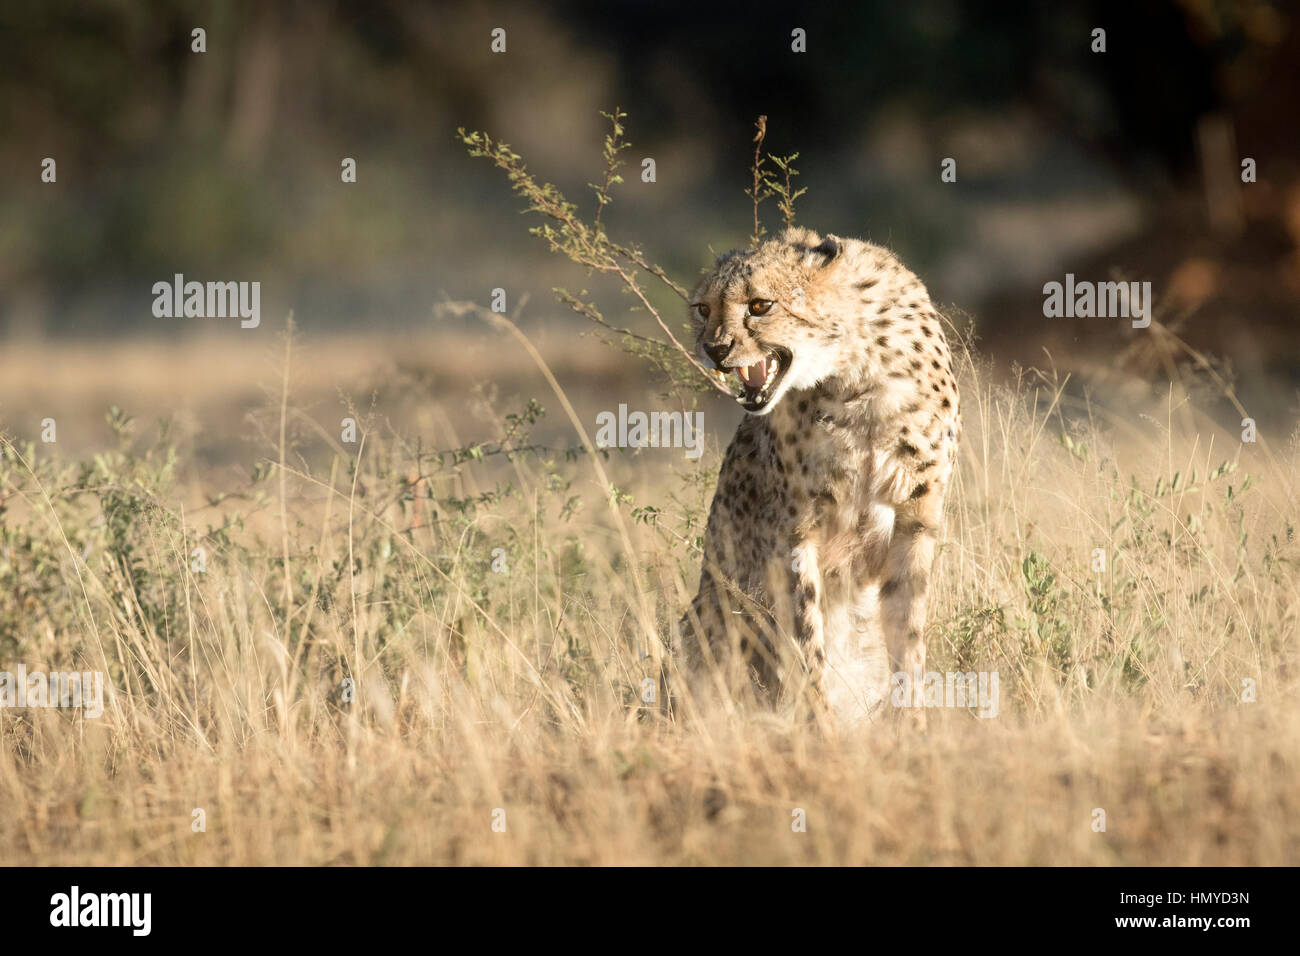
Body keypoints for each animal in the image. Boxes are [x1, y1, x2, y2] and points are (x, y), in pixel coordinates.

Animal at [681, 230, 956, 723]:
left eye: (760, 305)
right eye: (704, 309)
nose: (715, 349)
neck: (855, 372)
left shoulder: (917, 518)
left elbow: (908, 634)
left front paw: (912, 724)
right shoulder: (794, 532)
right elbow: (808, 640)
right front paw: (821, 726)